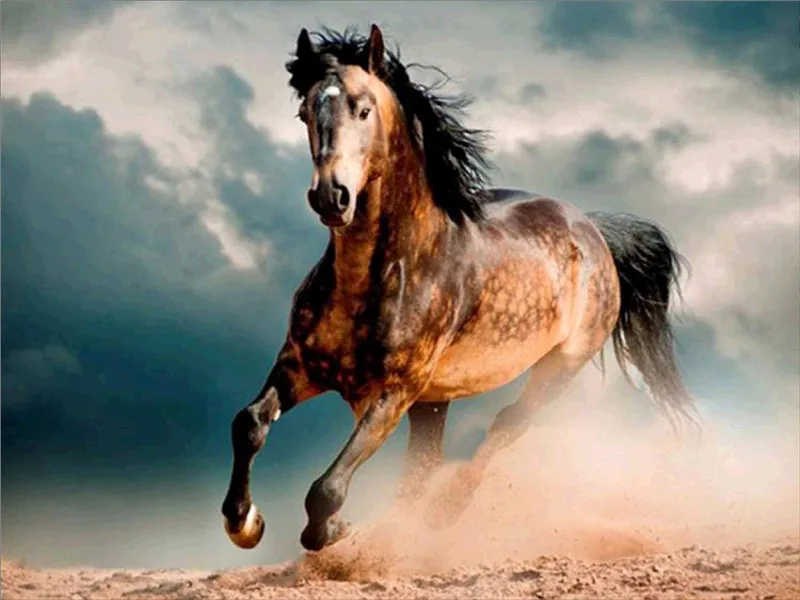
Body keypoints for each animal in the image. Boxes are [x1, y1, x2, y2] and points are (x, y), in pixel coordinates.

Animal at [221, 24, 695, 553]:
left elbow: (327, 489)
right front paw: (244, 522)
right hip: (435, 401)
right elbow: (249, 423)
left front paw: (335, 530)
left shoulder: (393, 393)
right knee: (424, 466)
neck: (377, 276)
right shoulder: (300, 366)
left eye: (363, 109)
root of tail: (593, 230)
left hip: (559, 367)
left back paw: (445, 511)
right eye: (304, 112)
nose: (331, 196)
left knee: (507, 424)